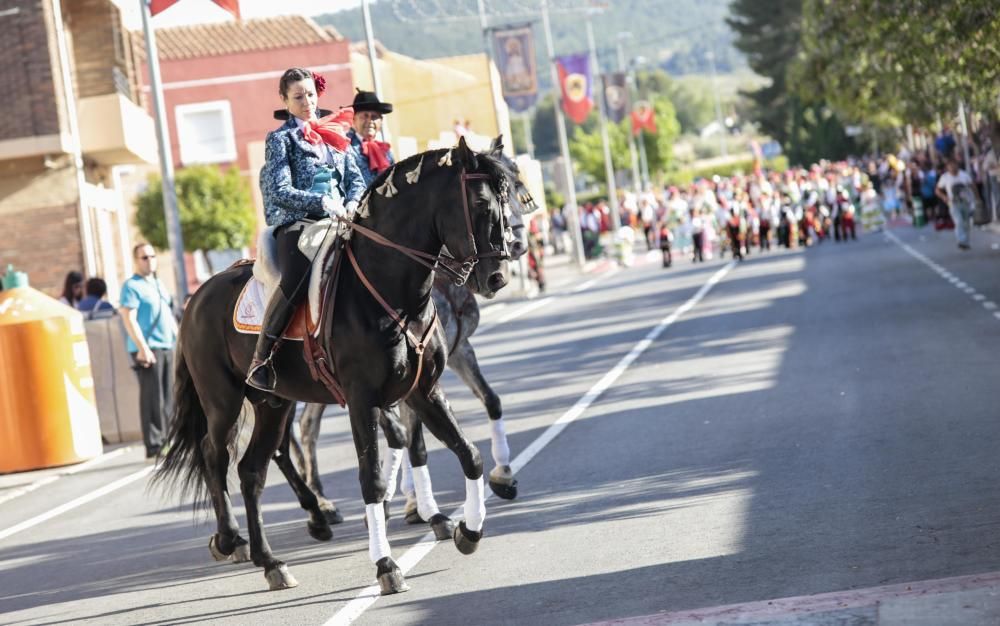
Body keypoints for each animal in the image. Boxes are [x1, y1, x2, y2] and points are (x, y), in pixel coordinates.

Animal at [158, 138, 516, 596]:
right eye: (483, 204)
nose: (497, 277)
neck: (389, 291)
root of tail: (195, 298)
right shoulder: (363, 399)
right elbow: (373, 477)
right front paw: (386, 563)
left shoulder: (423, 390)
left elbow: (465, 453)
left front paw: (467, 531)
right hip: (223, 402)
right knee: (214, 456)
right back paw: (231, 540)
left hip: (272, 404)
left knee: (252, 470)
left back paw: (271, 560)